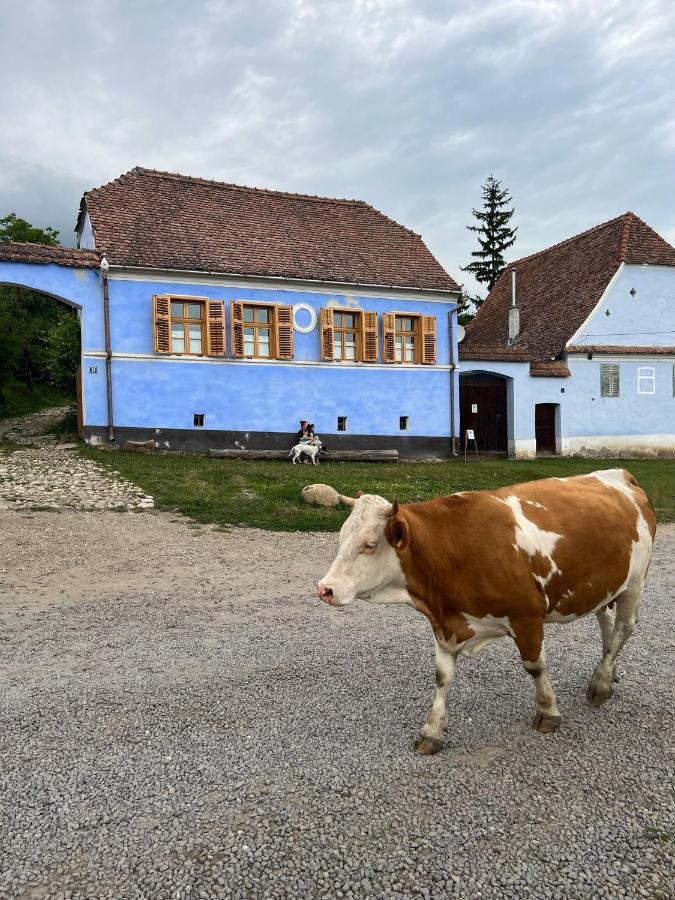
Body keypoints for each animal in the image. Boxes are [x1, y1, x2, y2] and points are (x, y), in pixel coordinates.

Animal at [320, 468, 656, 756]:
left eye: (369, 544)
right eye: (342, 537)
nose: (325, 588)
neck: (452, 549)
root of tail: (619, 474)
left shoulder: (527, 616)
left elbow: (535, 666)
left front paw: (548, 711)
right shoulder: (446, 624)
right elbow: (442, 677)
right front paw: (432, 731)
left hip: (635, 581)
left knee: (625, 626)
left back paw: (600, 684)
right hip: (604, 586)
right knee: (607, 624)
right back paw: (607, 673)